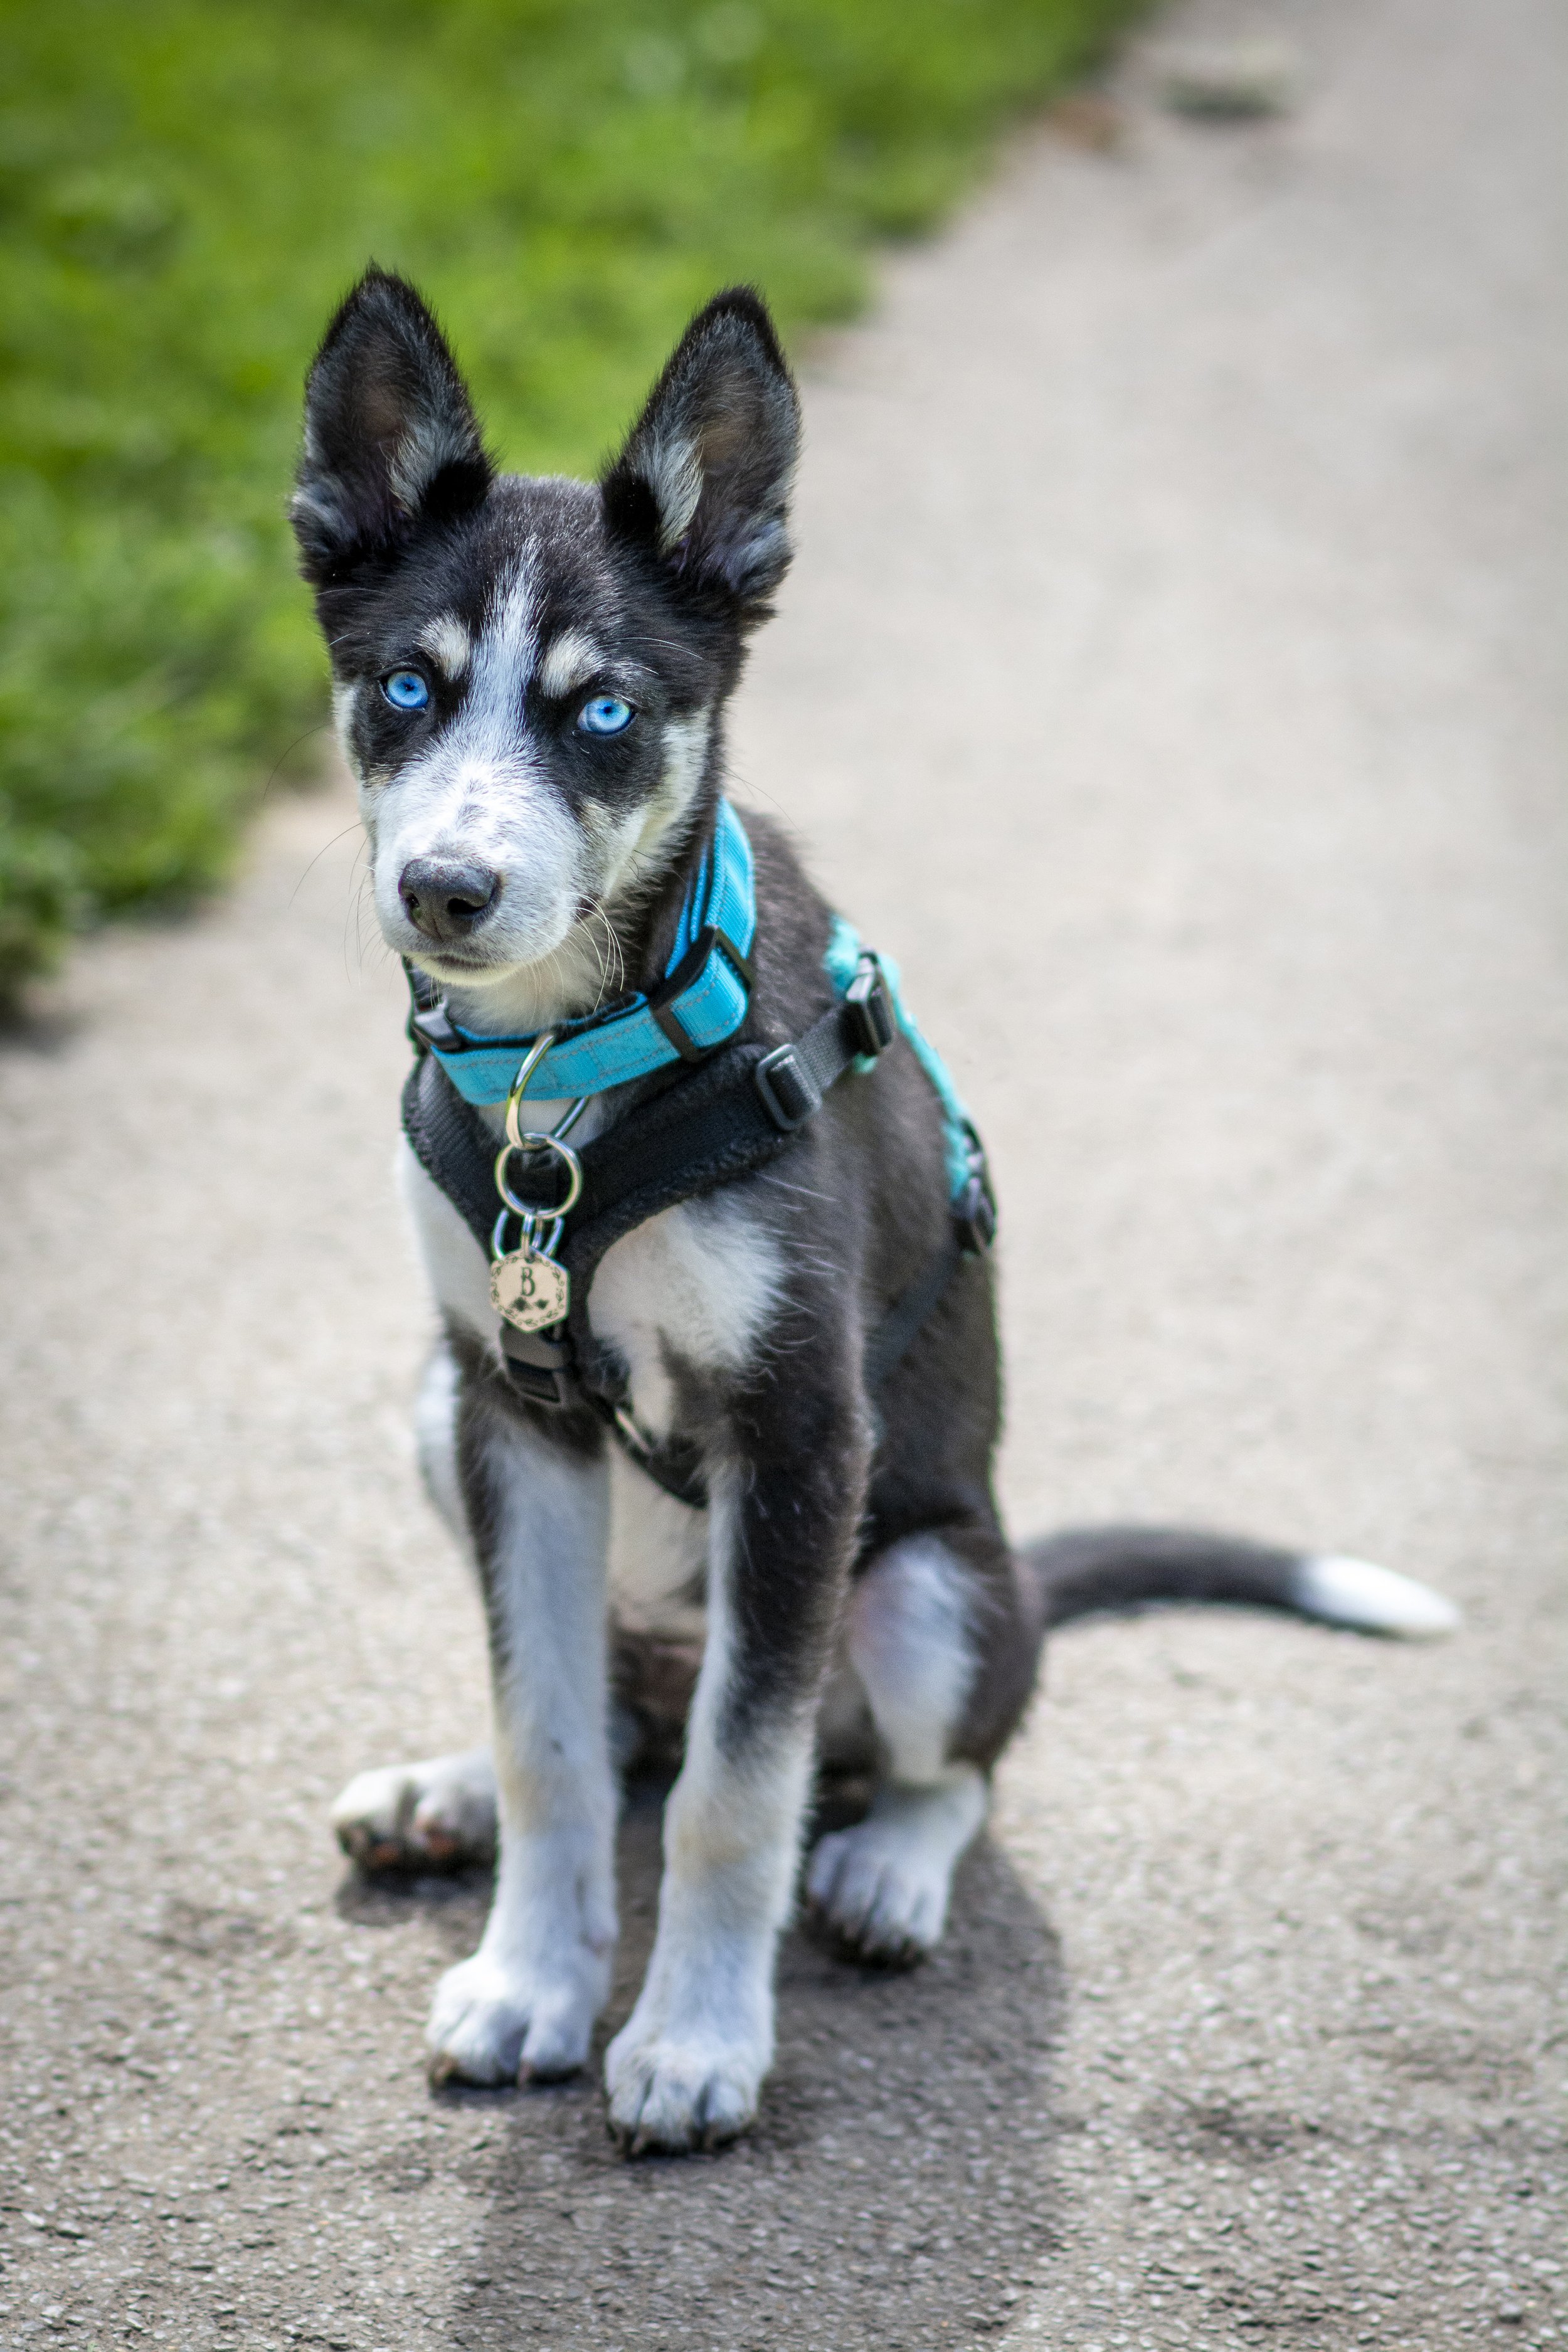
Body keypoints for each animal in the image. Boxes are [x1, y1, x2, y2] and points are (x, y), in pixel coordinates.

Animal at [294, 275, 1457, 2154]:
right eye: (406, 684)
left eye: (602, 712)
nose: (445, 891)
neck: (570, 1067)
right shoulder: (507, 1410)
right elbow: (549, 1738)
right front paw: (534, 1977)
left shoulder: (799, 1433)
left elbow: (735, 1787)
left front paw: (694, 2038)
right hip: (433, 1423)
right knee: (606, 1713)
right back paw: (444, 1786)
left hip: (925, 1587)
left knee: (932, 1757)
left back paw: (889, 1870)